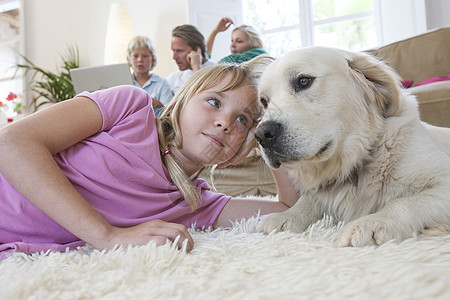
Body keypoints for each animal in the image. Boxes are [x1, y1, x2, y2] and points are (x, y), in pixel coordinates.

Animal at [255, 46, 450, 246]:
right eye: (264, 101)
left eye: (303, 81)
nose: (262, 135)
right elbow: (308, 200)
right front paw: (285, 216)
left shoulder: (442, 180)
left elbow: (403, 202)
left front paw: (373, 222)